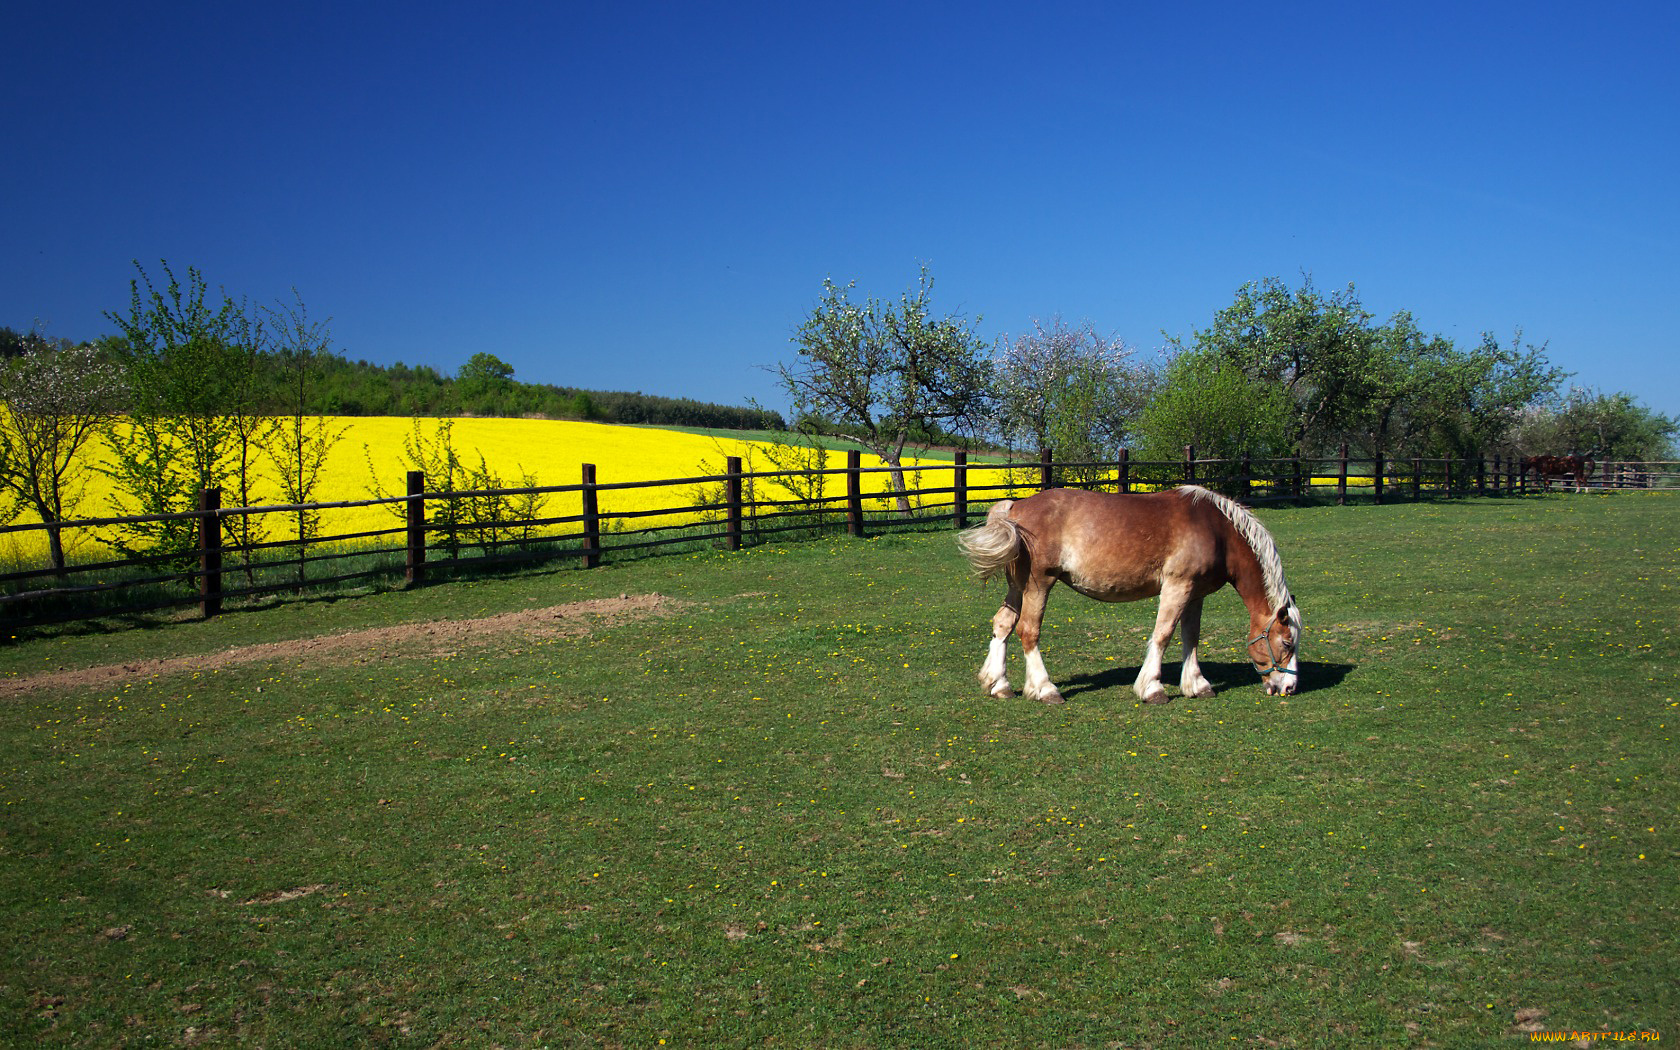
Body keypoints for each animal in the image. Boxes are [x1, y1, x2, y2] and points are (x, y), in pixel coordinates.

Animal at [960, 483, 1296, 705]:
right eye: (1287, 643)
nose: (1290, 687)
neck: (1216, 530)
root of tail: (1016, 507)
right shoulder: (1177, 587)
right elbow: (1163, 635)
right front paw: (1152, 688)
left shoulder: (1195, 594)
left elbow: (1191, 637)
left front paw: (1197, 684)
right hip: (1038, 585)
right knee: (1029, 632)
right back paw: (1044, 689)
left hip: (1017, 587)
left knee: (1003, 624)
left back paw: (998, 684)